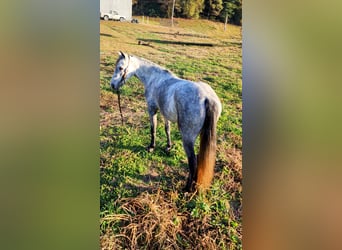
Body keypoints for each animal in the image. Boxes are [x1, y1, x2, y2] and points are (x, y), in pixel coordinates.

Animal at [109, 51, 222, 191]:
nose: (112, 85)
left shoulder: (152, 110)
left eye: (120, 67)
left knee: (193, 162)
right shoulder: (165, 113)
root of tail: (207, 98)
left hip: (187, 138)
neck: (155, 78)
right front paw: (168, 146)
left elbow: (153, 129)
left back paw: (187, 188)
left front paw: (151, 147)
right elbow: (167, 129)